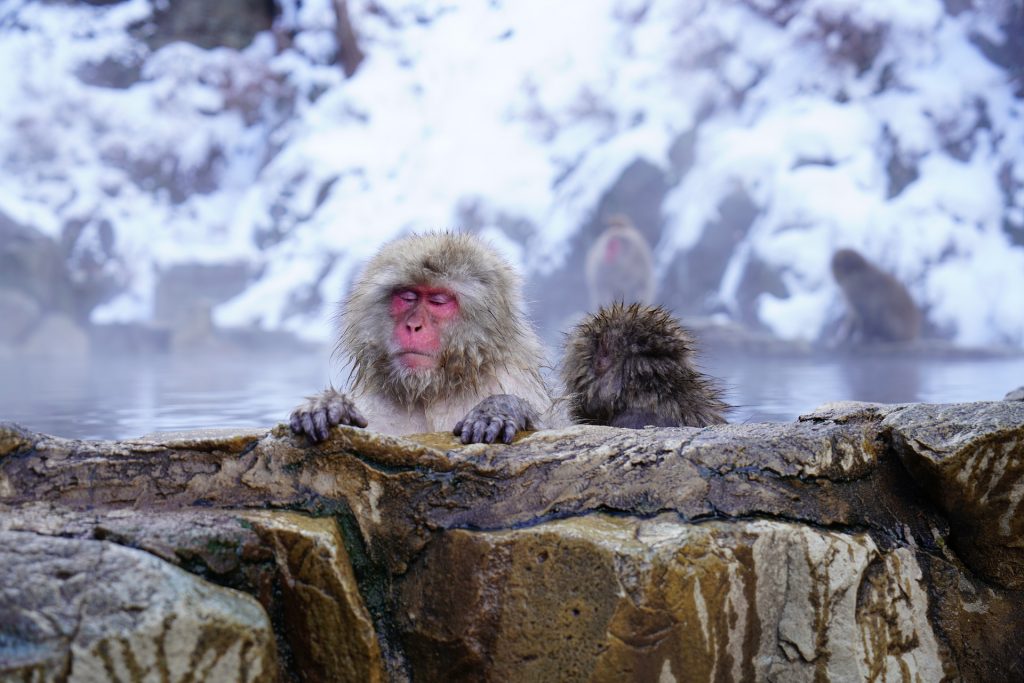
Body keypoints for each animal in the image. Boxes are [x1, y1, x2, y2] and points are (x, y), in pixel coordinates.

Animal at [292, 232, 552, 446]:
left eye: (438, 300)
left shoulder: (512, 380)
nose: (413, 326)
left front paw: (499, 409)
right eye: (408, 296)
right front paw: (330, 406)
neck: (432, 391)